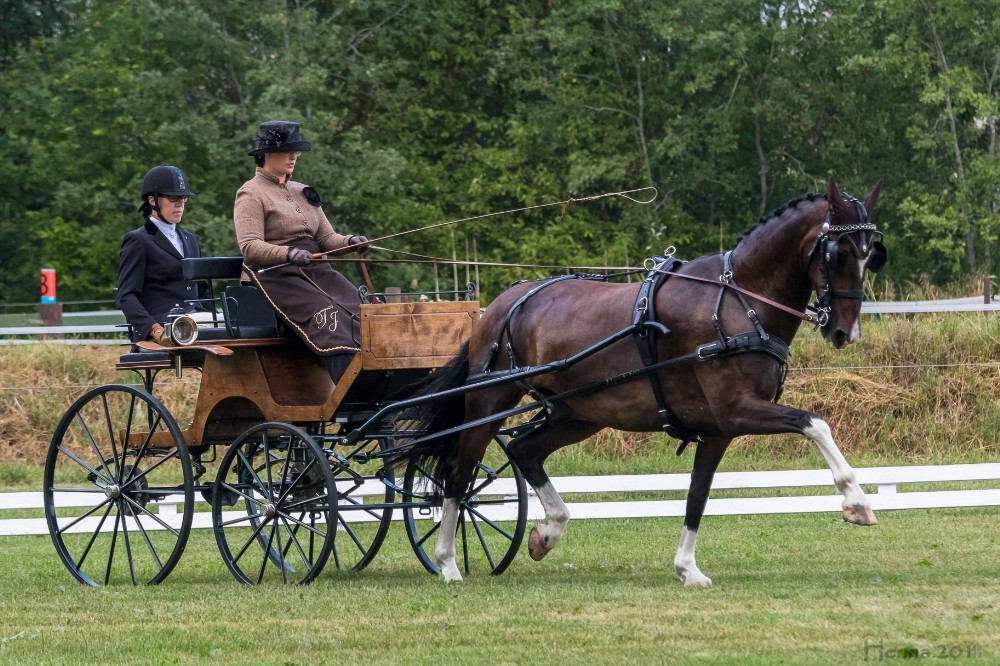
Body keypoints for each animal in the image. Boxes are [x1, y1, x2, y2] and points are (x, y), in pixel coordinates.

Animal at [401, 178, 886, 586]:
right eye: (838, 253)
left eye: (871, 254)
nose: (845, 333)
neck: (738, 300)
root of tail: (506, 301)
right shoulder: (737, 410)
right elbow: (814, 423)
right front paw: (857, 502)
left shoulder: (717, 429)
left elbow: (697, 496)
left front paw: (687, 569)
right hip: (489, 400)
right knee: (459, 473)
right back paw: (447, 564)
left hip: (579, 412)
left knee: (524, 450)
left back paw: (549, 530)